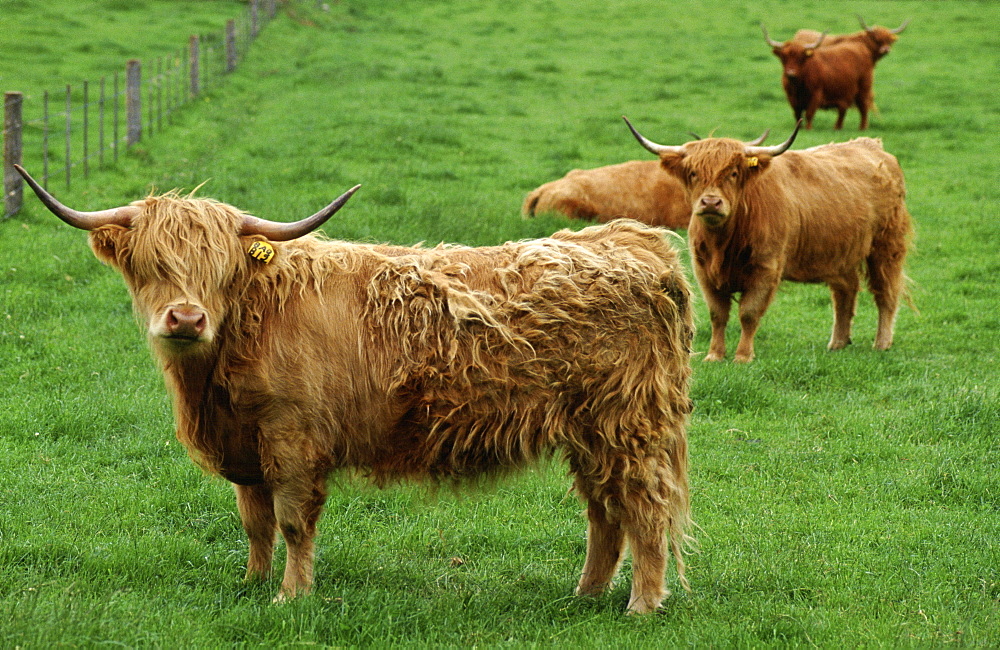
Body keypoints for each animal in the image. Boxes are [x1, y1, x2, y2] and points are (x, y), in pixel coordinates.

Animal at [19, 165, 700, 612]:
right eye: (151, 264)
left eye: (221, 268)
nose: (185, 318)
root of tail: (634, 241)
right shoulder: (248, 447)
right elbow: (254, 522)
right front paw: (252, 584)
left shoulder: (294, 439)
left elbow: (293, 522)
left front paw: (291, 597)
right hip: (589, 433)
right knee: (603, 513)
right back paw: (582, 596)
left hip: (628, 426)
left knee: (644, 508)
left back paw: (642, 605)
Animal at [624, 116, 916, 360]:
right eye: (693, 173)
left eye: (733, 173)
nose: (711, 202)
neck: (725, 242)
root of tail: (872, 146)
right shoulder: (704, 272)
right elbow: (718, 315)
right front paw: (715, 355)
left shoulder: (766, 269)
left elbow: (749, 313)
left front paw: (743, 356)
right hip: (841, 253)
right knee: (845, 292)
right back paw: (838, 343)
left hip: (886, 247)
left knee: (886, 292)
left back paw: (882, 343)